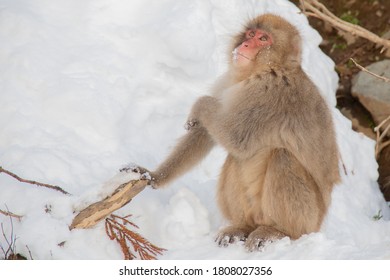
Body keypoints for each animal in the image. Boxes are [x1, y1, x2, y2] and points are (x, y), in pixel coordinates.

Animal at [129, 14, 340, 250]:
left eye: (263, 39)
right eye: (251, 34)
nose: (245, 44)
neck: (261, 70)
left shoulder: (269, 91)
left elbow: (237, 138)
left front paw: (200, 104)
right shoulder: (229, 81)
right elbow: (207, 134)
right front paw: (154, 176)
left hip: (309, 218)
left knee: (282, 156)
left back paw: (277, 231)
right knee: (235, 159)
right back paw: (241, 227)